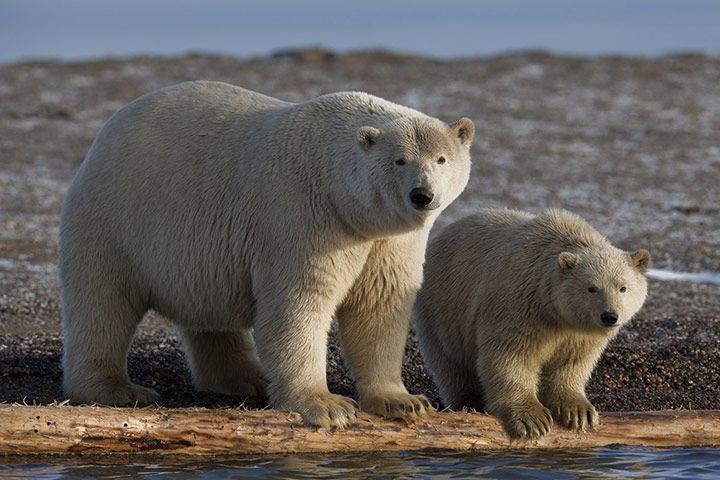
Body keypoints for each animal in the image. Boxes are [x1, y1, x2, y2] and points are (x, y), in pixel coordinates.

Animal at [58, 81, 474, 429]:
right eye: (399, 160)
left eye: (441, 159)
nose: (422, 195)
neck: (340, 197)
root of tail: (103, 134)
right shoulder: (304, 217)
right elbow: (298, 305)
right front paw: (326, 405)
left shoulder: (386, 241)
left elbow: (380, 306)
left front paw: (404, 402)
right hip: (115, 218)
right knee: (102, 303)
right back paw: (116, 389)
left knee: (208, 315)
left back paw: (246, 378)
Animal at [414, 208, 650, 439]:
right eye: (592, 288)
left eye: (623, 287)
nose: (610, 316)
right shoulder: (518, 305)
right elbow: (511, 355)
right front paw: (532, 419)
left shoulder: (578, 333)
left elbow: (571, 363)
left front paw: (578, 411)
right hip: (441, 308)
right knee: (451, 363)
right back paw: (469, 404)